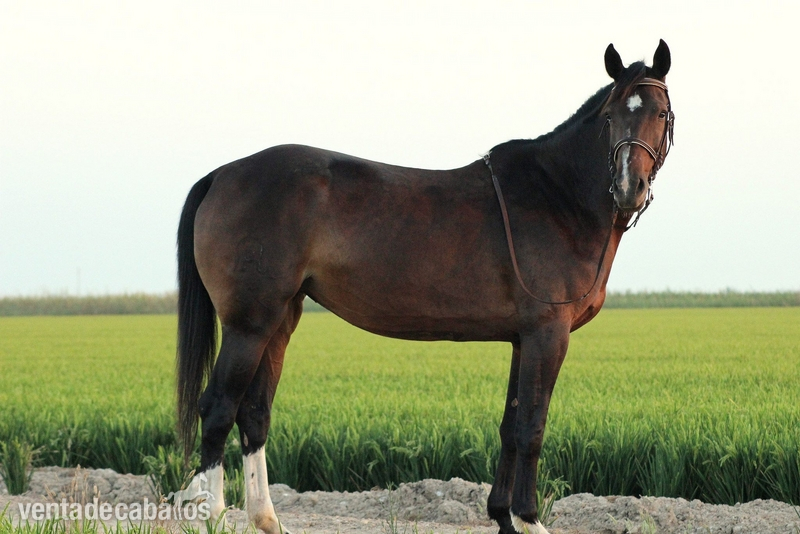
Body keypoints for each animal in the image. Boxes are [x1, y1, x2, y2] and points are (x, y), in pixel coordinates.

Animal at [175, 40, 674, 534]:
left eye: (661, 112)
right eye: (610, 115)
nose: (628, 187)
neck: (556, 197)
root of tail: (222, 174)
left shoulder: (522, 338)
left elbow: (510, 426)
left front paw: (502, 516)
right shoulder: (547, 335)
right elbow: (531, 426)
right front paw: (528, 519)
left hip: (279, 321)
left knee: (254, 413)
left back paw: (266, 518)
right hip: (248, 325)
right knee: (218, 408)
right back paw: (213, 515)